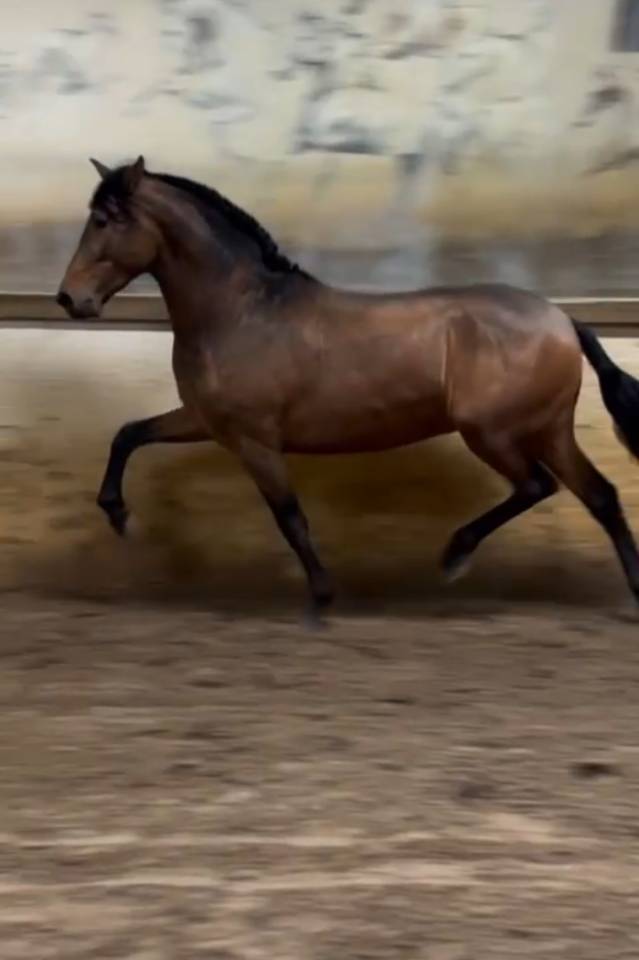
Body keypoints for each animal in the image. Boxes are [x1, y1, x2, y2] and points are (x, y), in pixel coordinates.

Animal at [56, 155, 639, 620]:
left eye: (104, 220)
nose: (69, 299)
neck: (240, 310)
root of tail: (562, 320)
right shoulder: (206, 421)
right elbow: (129, 434)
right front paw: (118, 514)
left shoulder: (254, 439)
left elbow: (290, 517)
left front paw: (322, 597)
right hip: (548, 430)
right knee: (599, 495)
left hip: (493, 432)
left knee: (538, 486)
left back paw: (454, 555)